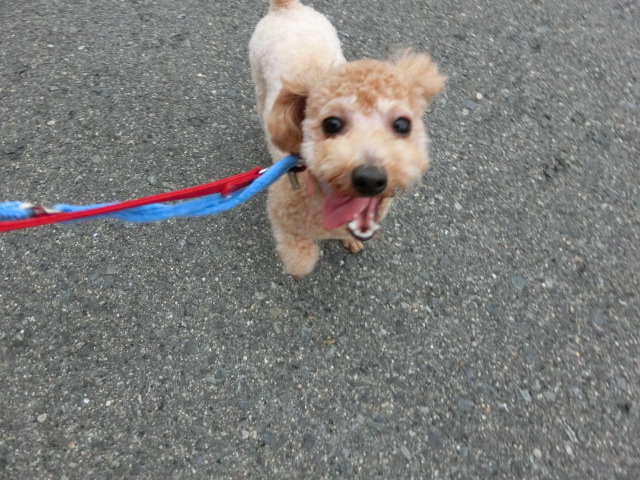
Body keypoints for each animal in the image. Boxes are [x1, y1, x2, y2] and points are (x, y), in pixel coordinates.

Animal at [249, 0, 445, 277]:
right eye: (331, 124)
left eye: (402, 125)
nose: (370, 178)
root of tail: (285, 8)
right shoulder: (280, 215)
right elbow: (298, 254)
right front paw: (301, 263)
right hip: (258, 78)